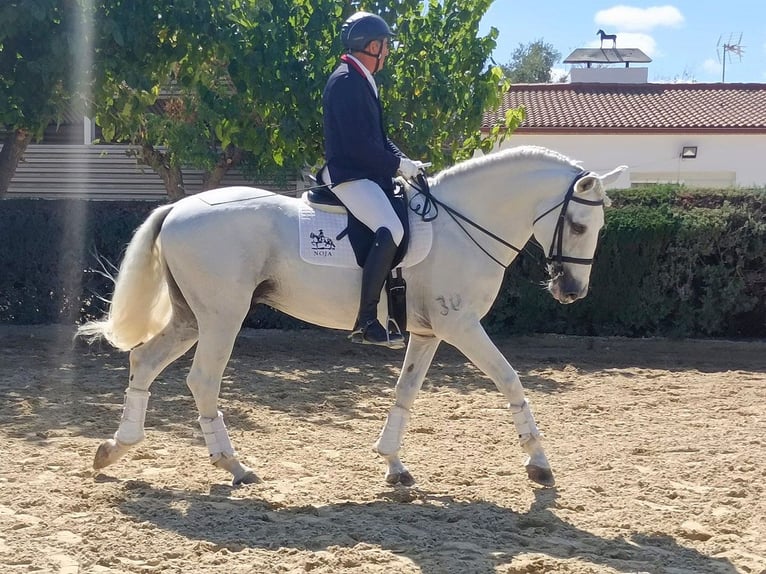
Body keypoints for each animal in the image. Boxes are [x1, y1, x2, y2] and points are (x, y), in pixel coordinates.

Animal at [79, 145, 632, 490]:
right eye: (578, 224)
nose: (571, 291)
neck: (462, 224)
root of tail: (177, 208)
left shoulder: (429, 332)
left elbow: (406, 392)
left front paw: (393, 464)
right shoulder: (461, 326)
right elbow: (511, 380)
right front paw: (539, 465)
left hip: (191, 318)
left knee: (144, 363)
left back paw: (115, 448)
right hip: (221, 317)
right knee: (202, 381)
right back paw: (234, 466)